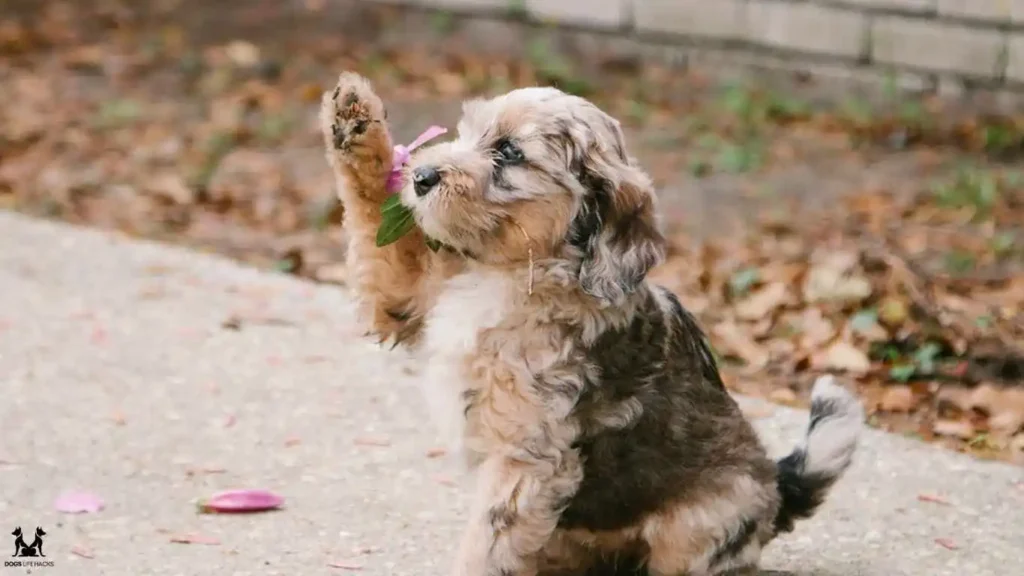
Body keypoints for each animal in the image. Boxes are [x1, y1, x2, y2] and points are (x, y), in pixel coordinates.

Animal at [319, 72, 864, 573]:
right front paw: (355, 121)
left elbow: (483, 551)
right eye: (467, 132)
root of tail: (776, 487)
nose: (422, 176)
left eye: (509, 153)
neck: (509, 272)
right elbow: (372, 220)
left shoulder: (528, 460)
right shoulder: (405, 302)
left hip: (699, 525)